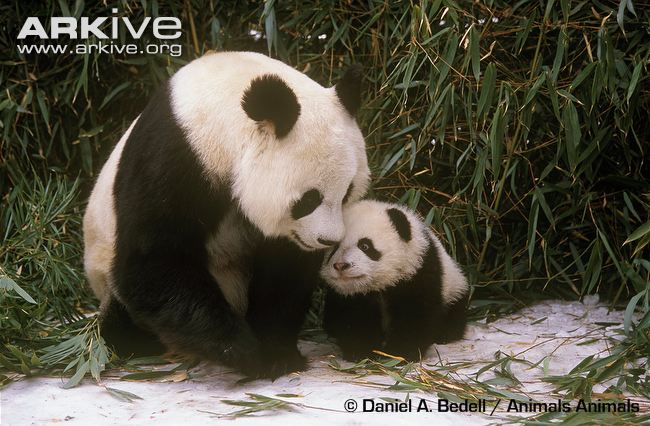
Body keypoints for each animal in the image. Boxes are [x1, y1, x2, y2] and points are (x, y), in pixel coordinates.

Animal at [83, 51, 370, 377]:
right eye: (309, 199)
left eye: (347, 192)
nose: (327, 239)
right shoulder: (172, 158)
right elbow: (152, 258)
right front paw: (244, 352)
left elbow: (284, 269)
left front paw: (277, 352)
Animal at [321, 200, 469, 361]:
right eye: (335, 248)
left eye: (365, 246)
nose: (341, 265)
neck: (381, 284)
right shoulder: (347, 295)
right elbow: (353, 318)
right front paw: (361, 351)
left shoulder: (419, 271)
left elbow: (415, 314)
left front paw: (400, 353)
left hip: (453, 286)